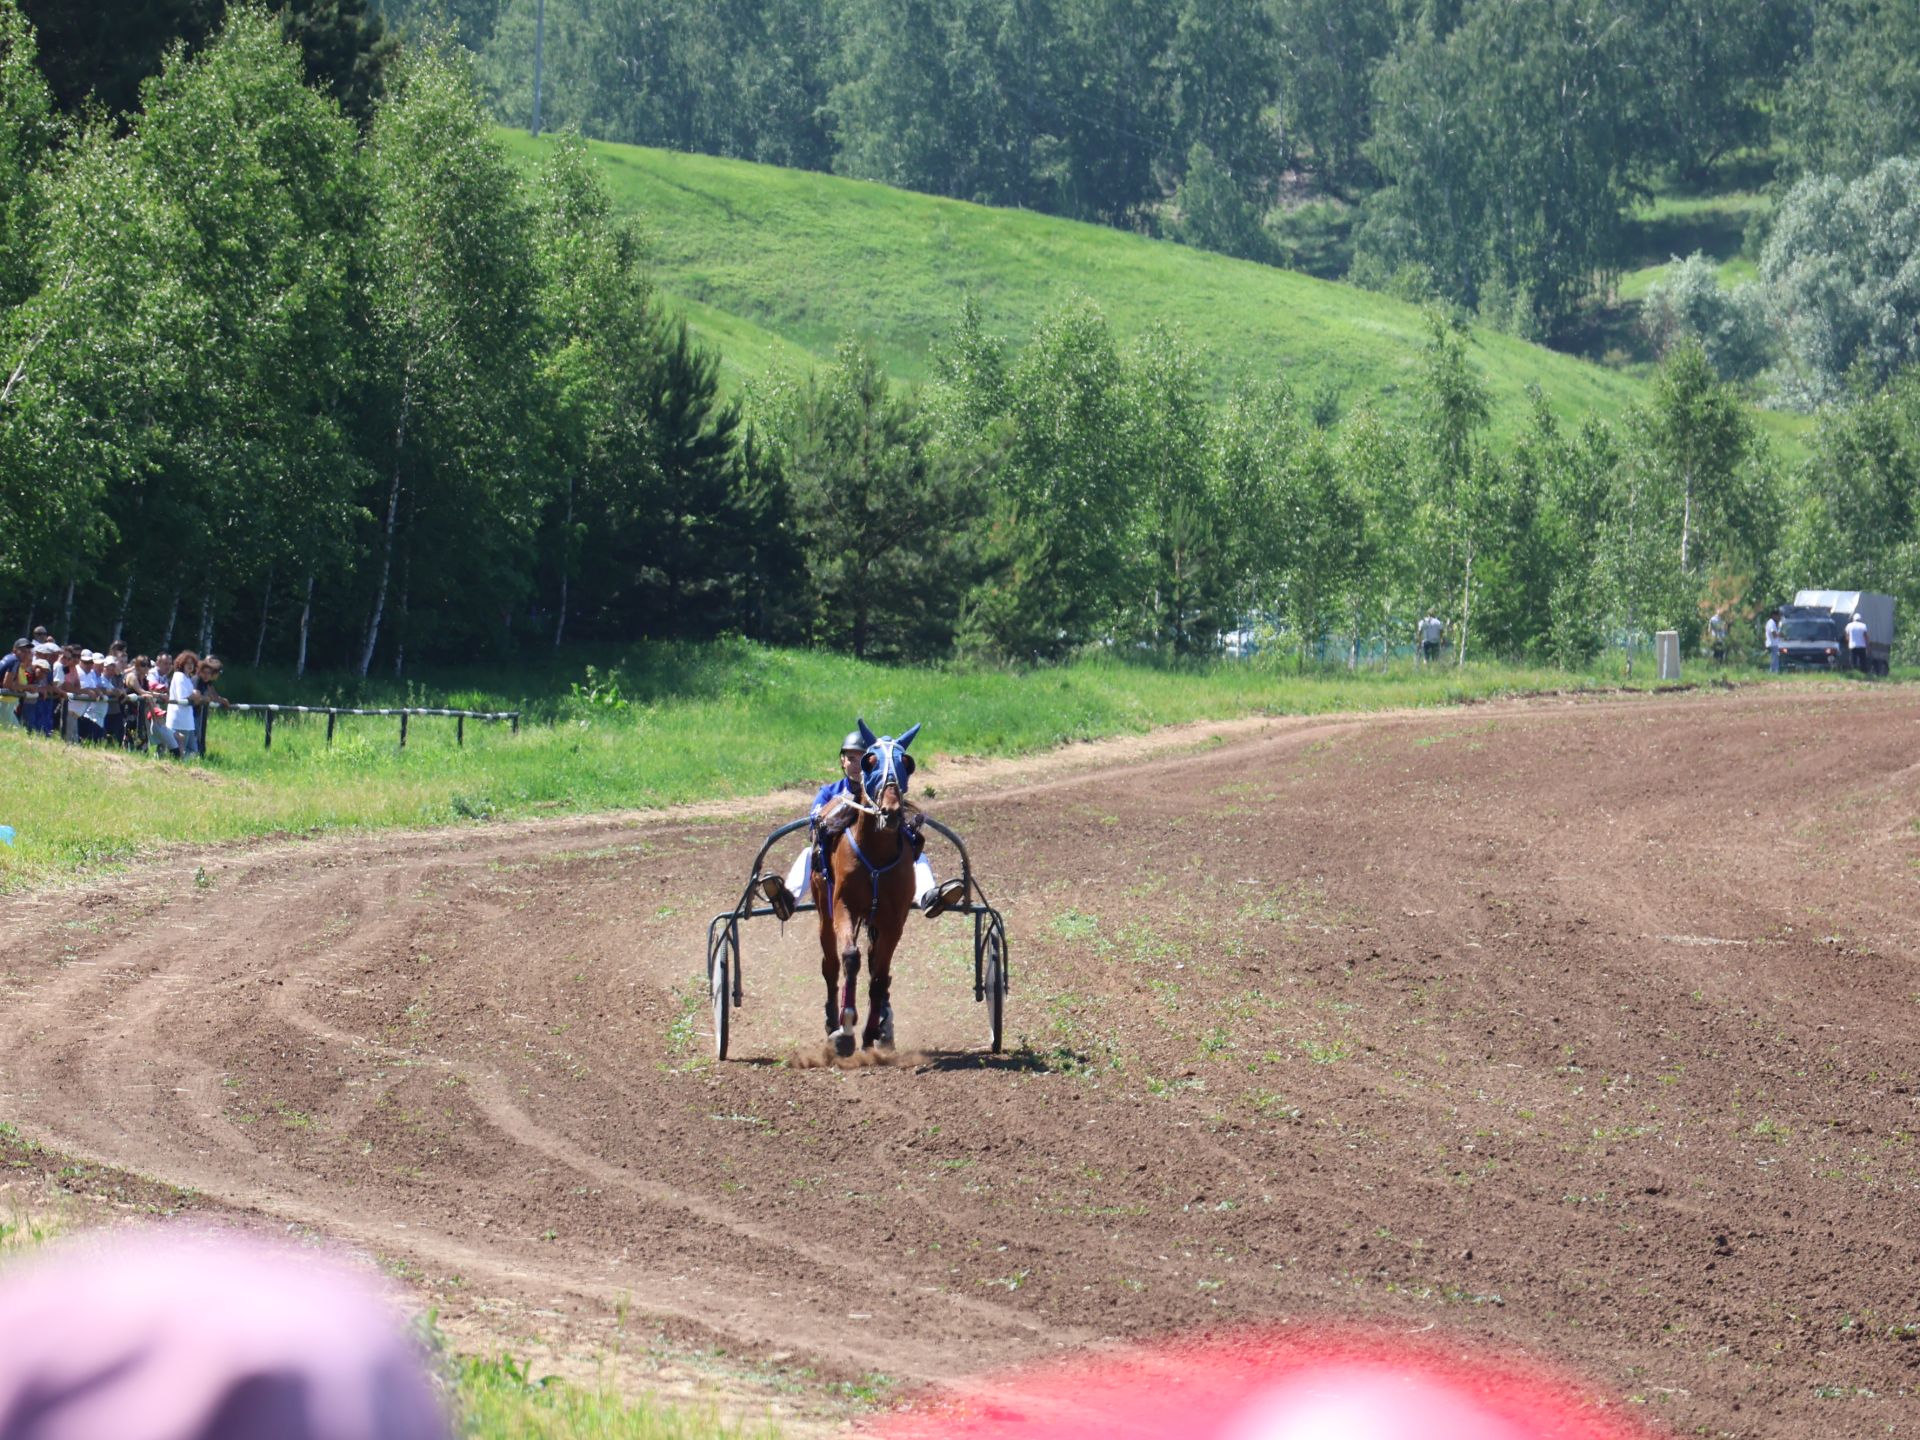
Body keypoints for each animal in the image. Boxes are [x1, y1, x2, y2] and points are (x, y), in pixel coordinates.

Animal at [810, 725, 921, 1052]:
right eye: (869, 761)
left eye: (906, 762)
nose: (891, 811)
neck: (876, 856)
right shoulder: (843, 907)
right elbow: (850, 957)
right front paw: (846, 1026)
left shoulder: (893, 921)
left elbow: (879, 975)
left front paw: (872, 1032)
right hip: (823, 909)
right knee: (831, 964)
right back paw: (832, 1020)